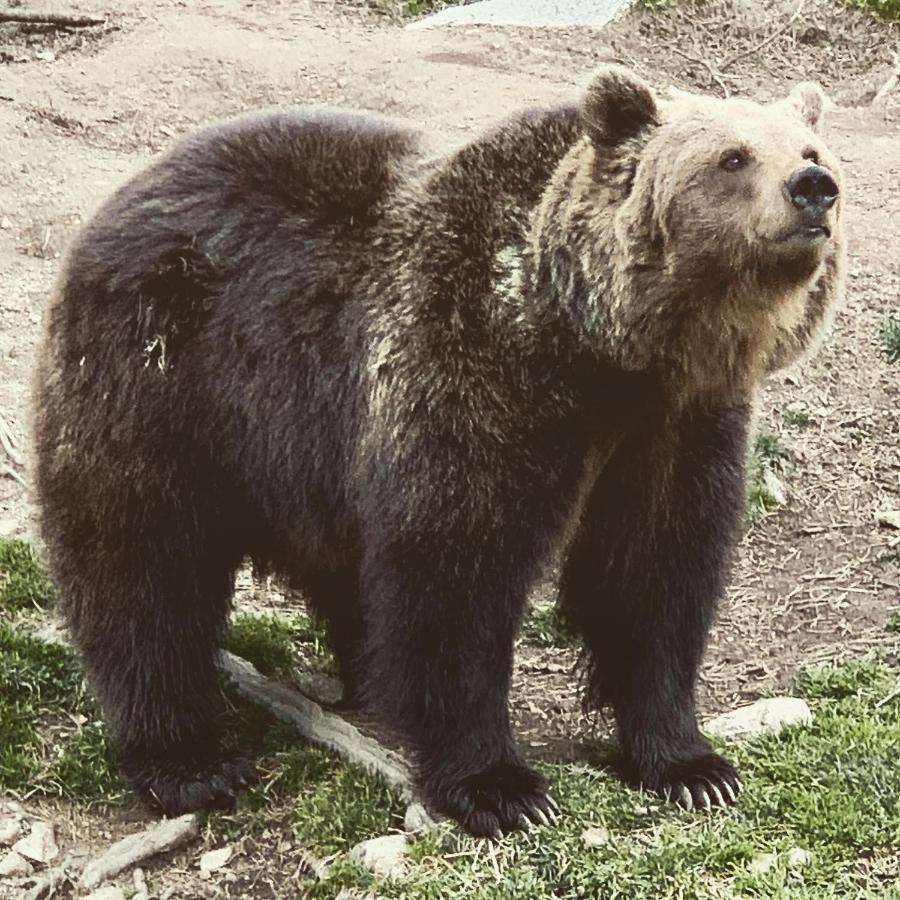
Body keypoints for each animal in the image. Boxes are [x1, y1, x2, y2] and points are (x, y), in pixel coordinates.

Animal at [29, 67, 844, 840]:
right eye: (732, 157)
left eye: (809, 149)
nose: (813, 189)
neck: (600, 353)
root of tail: (122, 195)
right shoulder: (474, 373)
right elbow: (455, 576)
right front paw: (501, 786)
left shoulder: (676, 426)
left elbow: (653, 574)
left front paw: (691, 764)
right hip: (162, 381)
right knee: (143, 566)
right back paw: (186, 759)